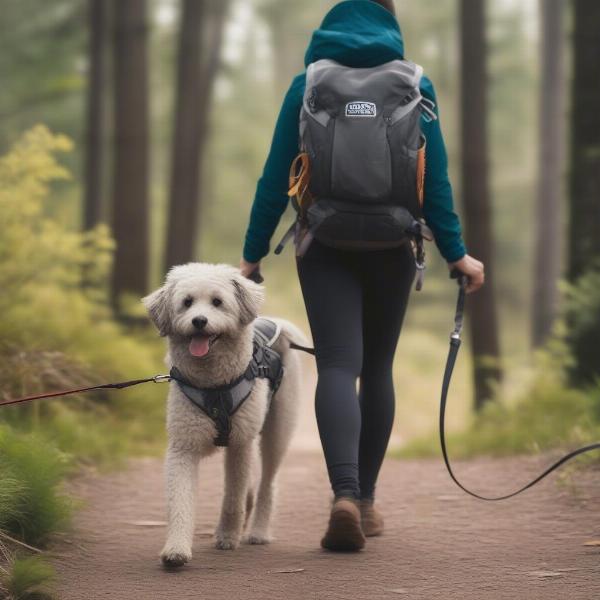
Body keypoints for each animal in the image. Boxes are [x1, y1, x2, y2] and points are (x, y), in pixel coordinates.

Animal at [142, 262, 304, 568]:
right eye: (187, 302)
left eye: (217, 302)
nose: (199, 321)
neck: (213, 385)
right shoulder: (183, 446)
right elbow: (180, 501)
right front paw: (176, 550)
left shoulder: (240, 444)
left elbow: (233, 498)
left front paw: (227, 537)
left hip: (277, 432)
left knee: (267, 484)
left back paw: (258, 531)